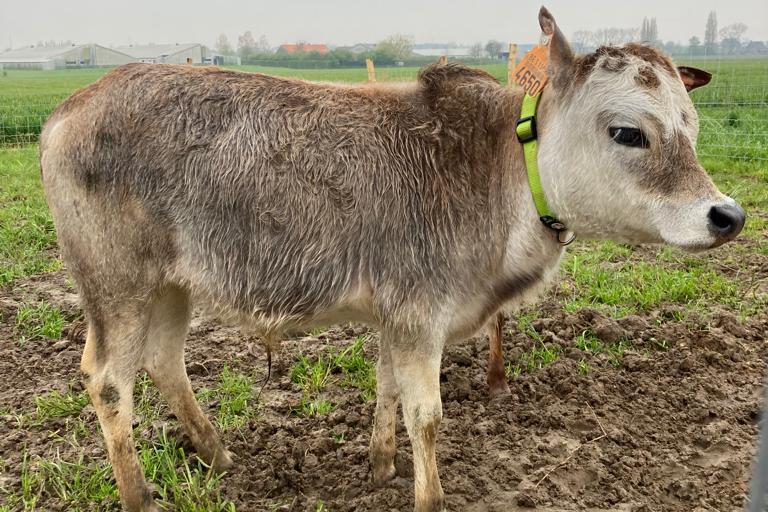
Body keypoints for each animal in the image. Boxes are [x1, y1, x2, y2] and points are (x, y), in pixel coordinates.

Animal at [39, 6, 740, 510]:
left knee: (163, 360)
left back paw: (217, 453)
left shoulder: (396, 317)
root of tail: (69, 108)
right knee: (108, 380)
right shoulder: (421, 315)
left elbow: (385, 389)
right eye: (627, 131)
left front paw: (379, 467)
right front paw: (427, 496)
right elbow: (425, 416)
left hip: (171, 285)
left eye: (691, 127)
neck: (496, 171)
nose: (726, 215)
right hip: (117, 287)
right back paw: (139, 493)